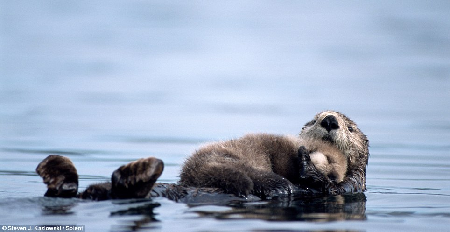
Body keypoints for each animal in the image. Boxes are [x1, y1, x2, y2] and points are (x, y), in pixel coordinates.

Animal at [36, 110, 370, 201]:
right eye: (315, 118)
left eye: (351, 128)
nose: (330, 121)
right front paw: (304, 163)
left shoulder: (349, 186)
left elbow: (330, 187)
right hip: (224, 160)